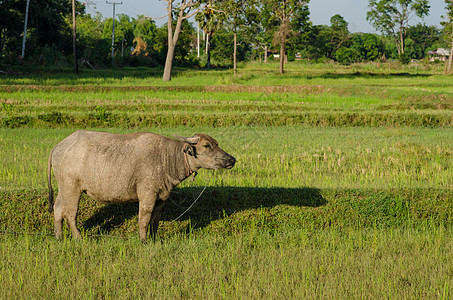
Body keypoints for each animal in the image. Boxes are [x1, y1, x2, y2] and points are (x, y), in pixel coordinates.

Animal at [47, 130, 235, 240]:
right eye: (206, 145)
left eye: (216, 144)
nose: (231, 159)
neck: (167, 158)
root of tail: (57, 146)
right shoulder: (147, 195)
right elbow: (144, 218)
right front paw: (143, 240)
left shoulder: (162, 197)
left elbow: (155, 220)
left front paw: (154, 239)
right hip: (72, 188)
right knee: (70, 213)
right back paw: (78, 238)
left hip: (62, 188)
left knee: (58, 209)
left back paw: (58, 236)